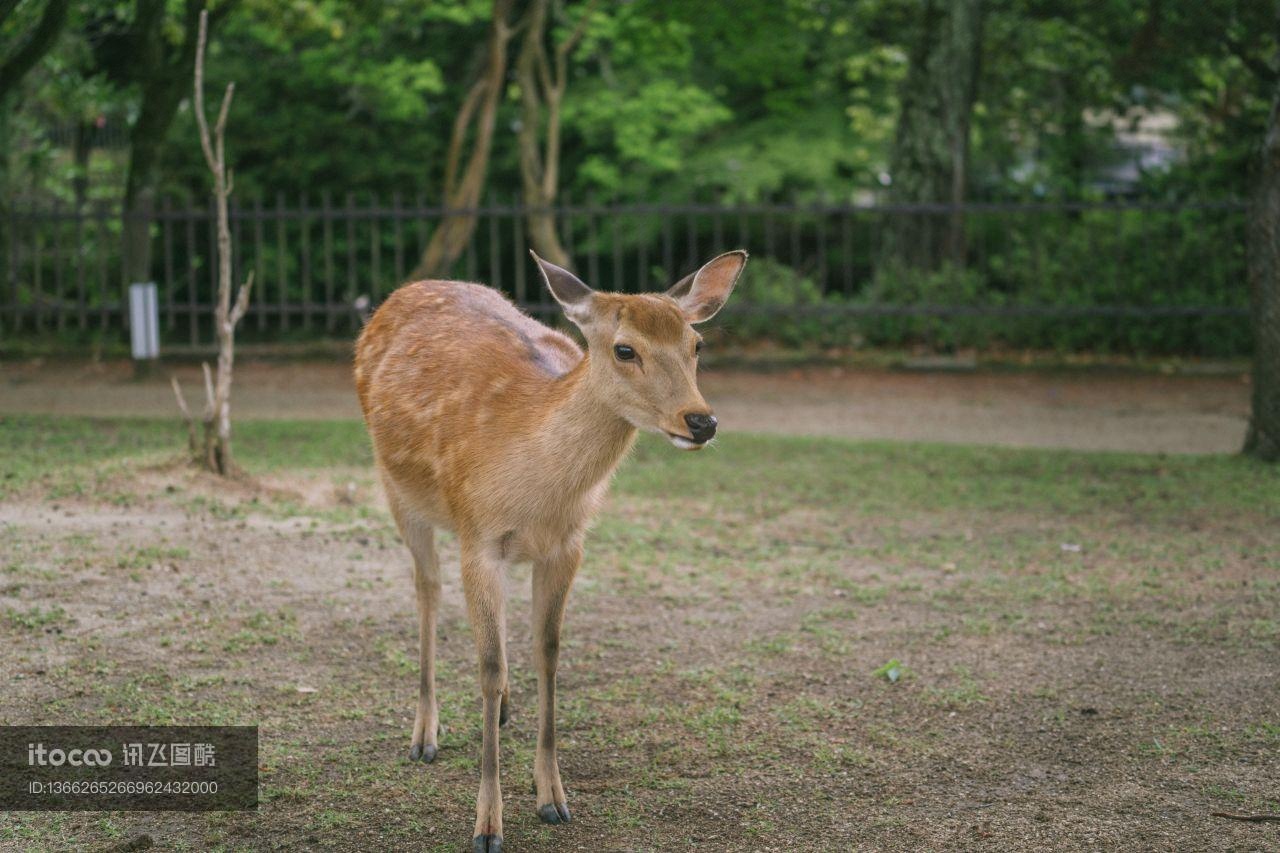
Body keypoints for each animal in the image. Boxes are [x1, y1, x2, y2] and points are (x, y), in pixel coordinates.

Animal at [355, 249, 747, 845]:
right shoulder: (478, 537)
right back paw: (424, 734)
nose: (701, 421)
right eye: (625, 348)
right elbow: (488, 665)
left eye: (697, 344)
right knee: (427, 587)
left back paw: (502, 712)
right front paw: (487, 824)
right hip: (396, 488)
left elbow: (549, 652)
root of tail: (403, 293)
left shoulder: (568, 544)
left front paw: (553, 797)